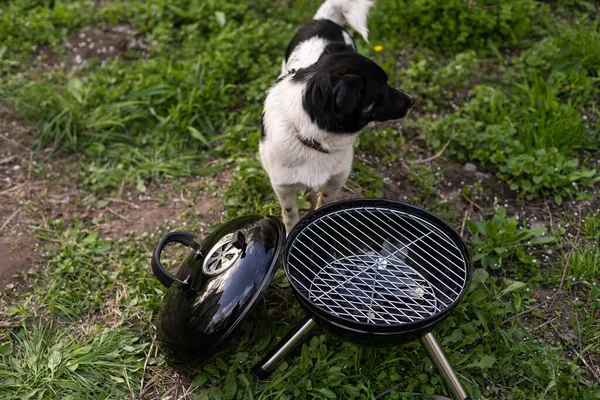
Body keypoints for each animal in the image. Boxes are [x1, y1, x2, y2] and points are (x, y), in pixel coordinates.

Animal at [260, 0, 414, 234]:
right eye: (383, 90)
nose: (412, 101)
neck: (313, 134)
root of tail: (323, 20)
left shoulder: (336, 178)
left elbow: (324, 203)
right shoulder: (282, 186)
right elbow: (290, 213)